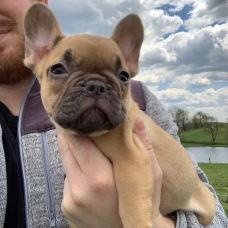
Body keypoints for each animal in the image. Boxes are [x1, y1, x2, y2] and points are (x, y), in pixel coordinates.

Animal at [22, 3, 216, 228]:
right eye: (58, 69)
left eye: (123, 76)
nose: (96, 85)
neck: (92, 135)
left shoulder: (132, 160)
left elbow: (131, 206)